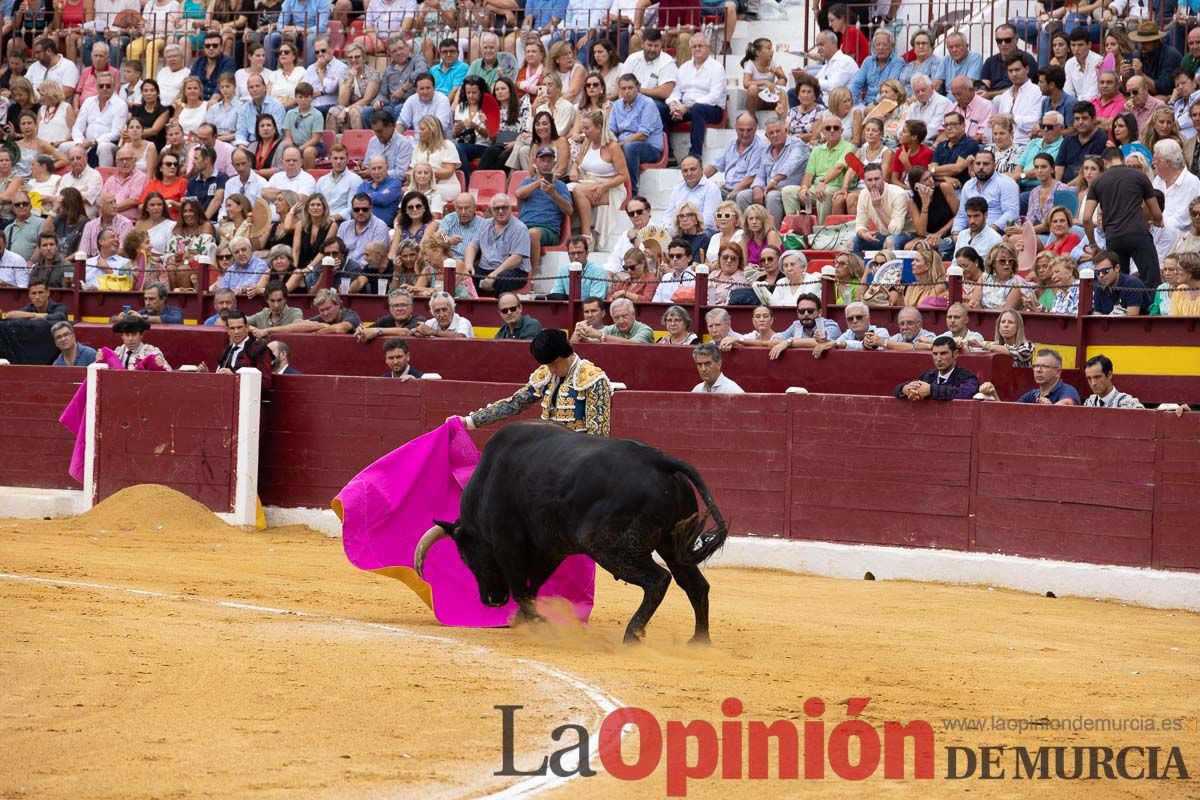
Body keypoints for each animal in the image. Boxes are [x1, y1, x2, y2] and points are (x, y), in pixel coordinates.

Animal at [412, 424, 729, 642]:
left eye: (466, 556)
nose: (491, 600)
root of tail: (660, 460)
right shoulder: (549, 549)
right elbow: (533, 587)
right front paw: (525, 620)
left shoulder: (508, 544)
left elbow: (521, 587)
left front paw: (539, 624)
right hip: (672, 544)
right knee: (695, 584)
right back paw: (699, 640)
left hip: (608, 545)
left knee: (658, 579)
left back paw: (632, 635)